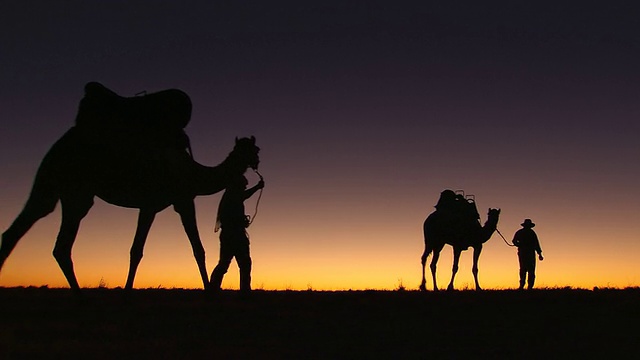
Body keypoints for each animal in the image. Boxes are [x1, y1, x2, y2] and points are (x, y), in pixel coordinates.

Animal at [0, 83, 260, 292]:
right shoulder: (167, 201)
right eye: (254, 150)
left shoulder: (173, 201)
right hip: (75, 191)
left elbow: (189, 248)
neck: (192, 170)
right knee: (59, 245)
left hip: (55, 184)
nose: (257, 162)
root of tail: (64, 140)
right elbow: (151, 250)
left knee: (24, 230)